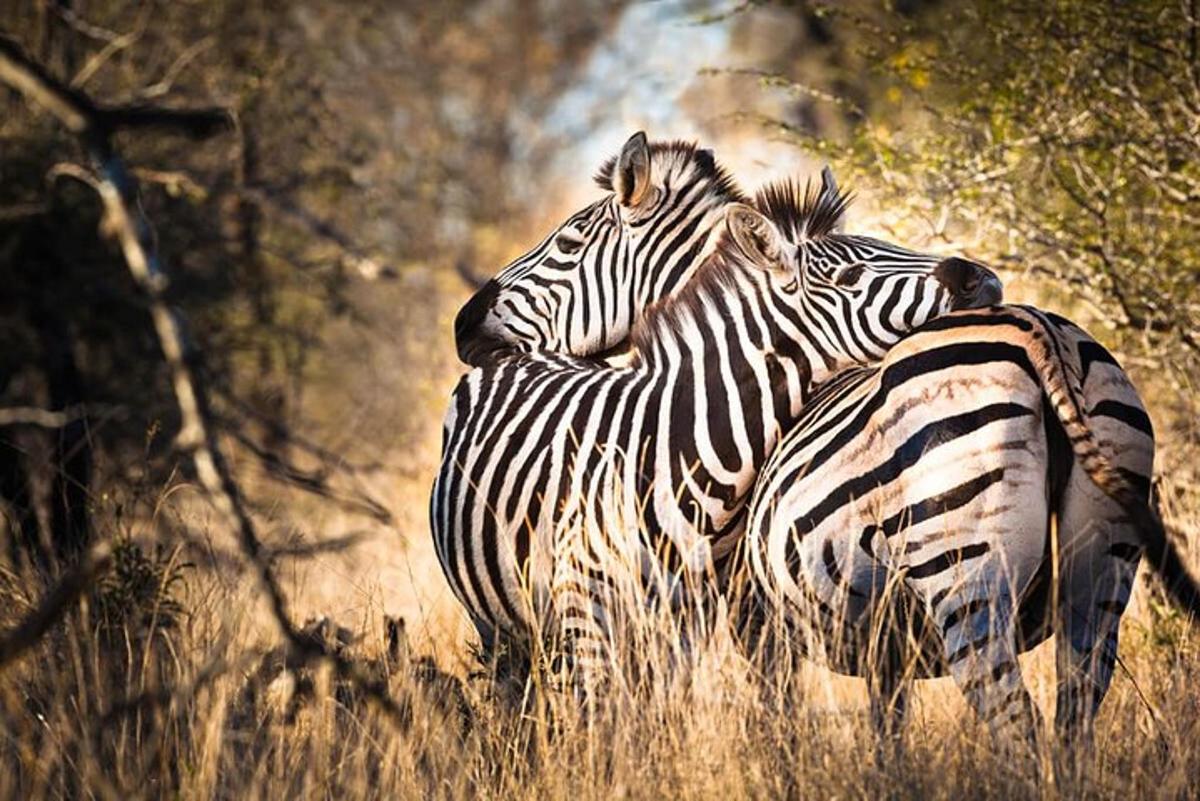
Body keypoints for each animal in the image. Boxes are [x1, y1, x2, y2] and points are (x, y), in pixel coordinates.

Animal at [739, 306, 1200, 753]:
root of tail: (1043, 334)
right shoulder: (886, 647)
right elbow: (887, 727)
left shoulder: (755, 620)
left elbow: (777, 720)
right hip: (1099, 567)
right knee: (1075, 715)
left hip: (964, 569)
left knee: (1016, 721)